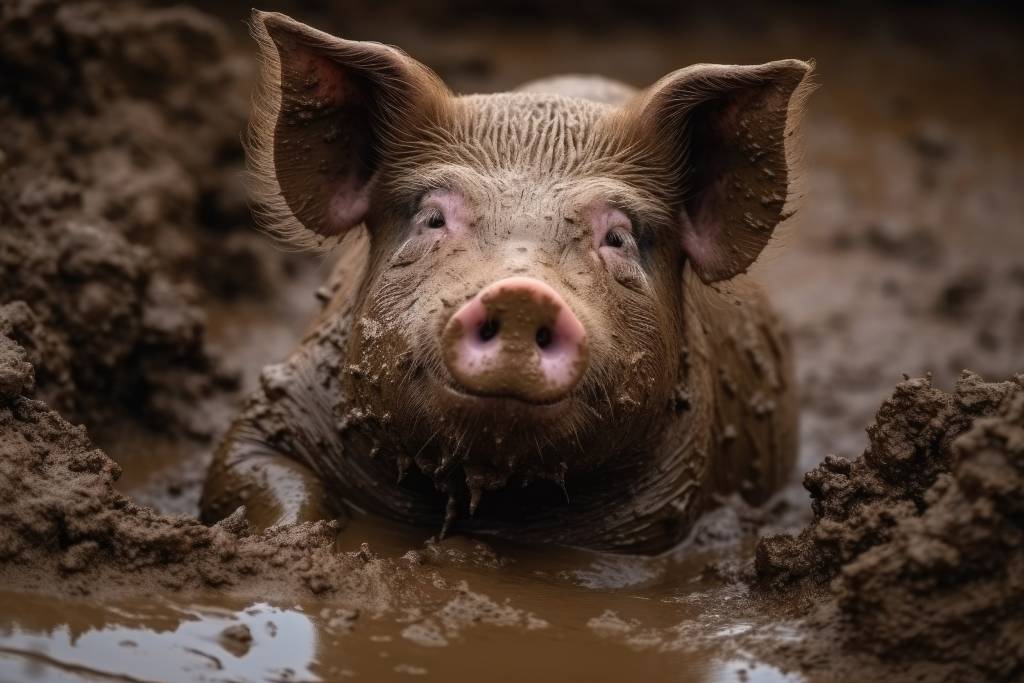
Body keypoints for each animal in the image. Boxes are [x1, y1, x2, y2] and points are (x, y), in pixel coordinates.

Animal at [200, 11, 811, 553]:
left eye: (617, 237)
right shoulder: (274, 413)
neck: (480, 480)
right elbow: (259, 478)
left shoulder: (659, 512)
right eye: (433, 218)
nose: (521, 294)